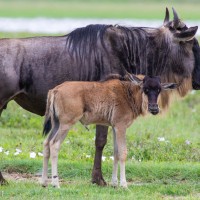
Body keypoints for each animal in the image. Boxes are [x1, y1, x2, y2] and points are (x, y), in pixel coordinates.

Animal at [40, 74, 177, 188]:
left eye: (159, 90)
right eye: (145, 89)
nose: (154, 108)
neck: (128, 93)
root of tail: (55, 90)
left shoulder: (115, 127)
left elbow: (116, 153)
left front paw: (114, 183)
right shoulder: (121, 127)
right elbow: (123, 153)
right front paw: (123, 184)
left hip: (56, 124)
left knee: (46, 143)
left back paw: (44, 182)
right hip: (66, 125)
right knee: (54, 145)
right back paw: (55, 183)